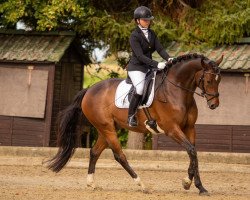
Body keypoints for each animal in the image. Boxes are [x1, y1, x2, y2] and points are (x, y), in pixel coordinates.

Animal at [47, 53, 224, 195]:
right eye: (208, 80)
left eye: (219, 80)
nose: (214, 105)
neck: (177, 91)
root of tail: (89, 90)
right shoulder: (171, 129)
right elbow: (191, 151)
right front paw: (190, 183)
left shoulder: (189, 128)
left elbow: (193, 153)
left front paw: (196, 186)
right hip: (107, 128)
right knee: (119, 156)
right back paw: (142, 185)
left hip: (107, 129)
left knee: (95, 152)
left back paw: (91, 183)